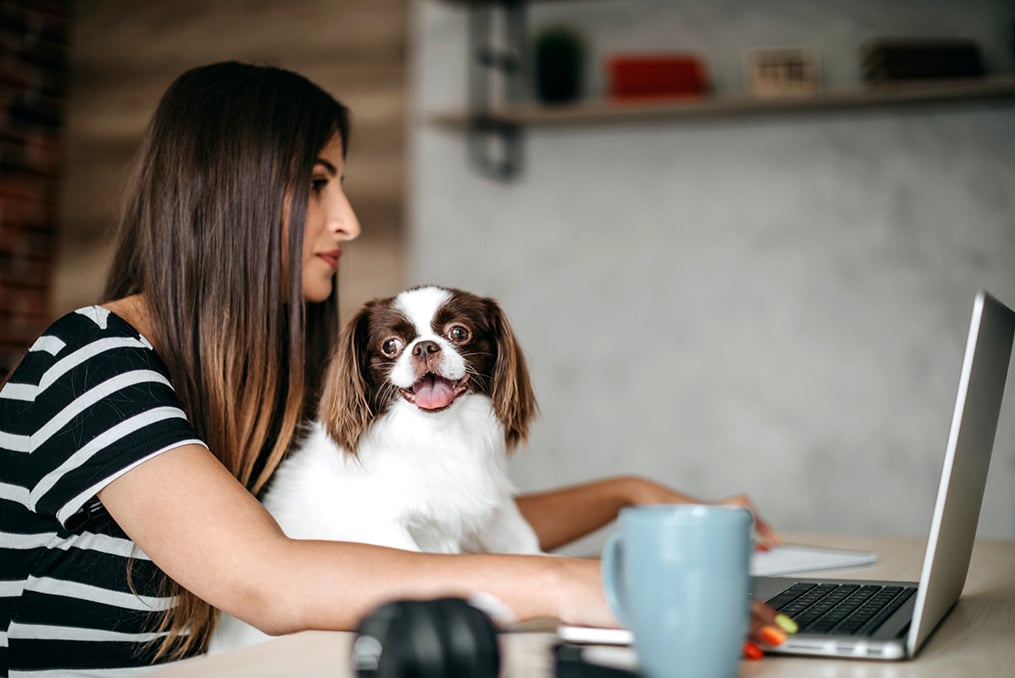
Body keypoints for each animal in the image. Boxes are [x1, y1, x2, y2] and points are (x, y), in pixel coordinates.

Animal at [210, 284, 544, 649]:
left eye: (459, 333)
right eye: (390, 346)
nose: (425, 347)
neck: (436, 435)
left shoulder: (492, 512)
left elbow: (523, 543)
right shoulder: (384, 527)